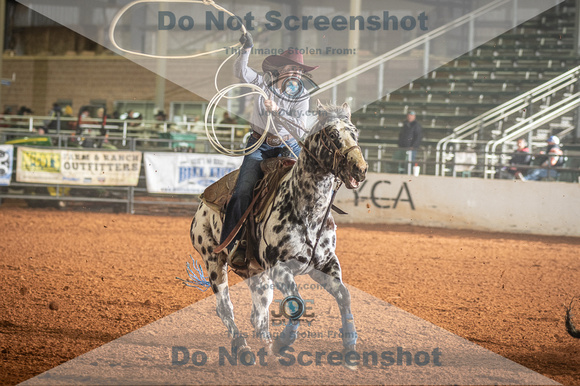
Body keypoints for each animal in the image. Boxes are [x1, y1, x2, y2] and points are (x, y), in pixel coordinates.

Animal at [190, 101, 368, 364]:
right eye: (333, 134)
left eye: (354, 132)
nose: (360, 168)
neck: (307, 211)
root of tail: (203, 202)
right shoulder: (279, 268)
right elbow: (298, 304)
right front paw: (283, 342)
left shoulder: (326, 263)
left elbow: (344, 295)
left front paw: (350, 347)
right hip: (213, 260)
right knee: (224, 308)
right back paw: (243, 348)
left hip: (256, 274)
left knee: (258, 313)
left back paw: (265, 345)